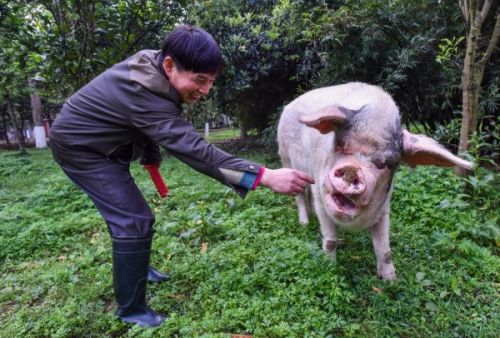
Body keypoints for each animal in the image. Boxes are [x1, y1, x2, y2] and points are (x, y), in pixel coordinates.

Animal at [278, 82, 472, 280]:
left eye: (385, 163)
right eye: (340, 145)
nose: (351, 169)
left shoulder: (384, 207)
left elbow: (384, 249)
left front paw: (391, 280)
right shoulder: (321, 196)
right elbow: (330, 241)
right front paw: (329, 268)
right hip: (287, 159)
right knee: (299, 195)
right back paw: (304, 223)